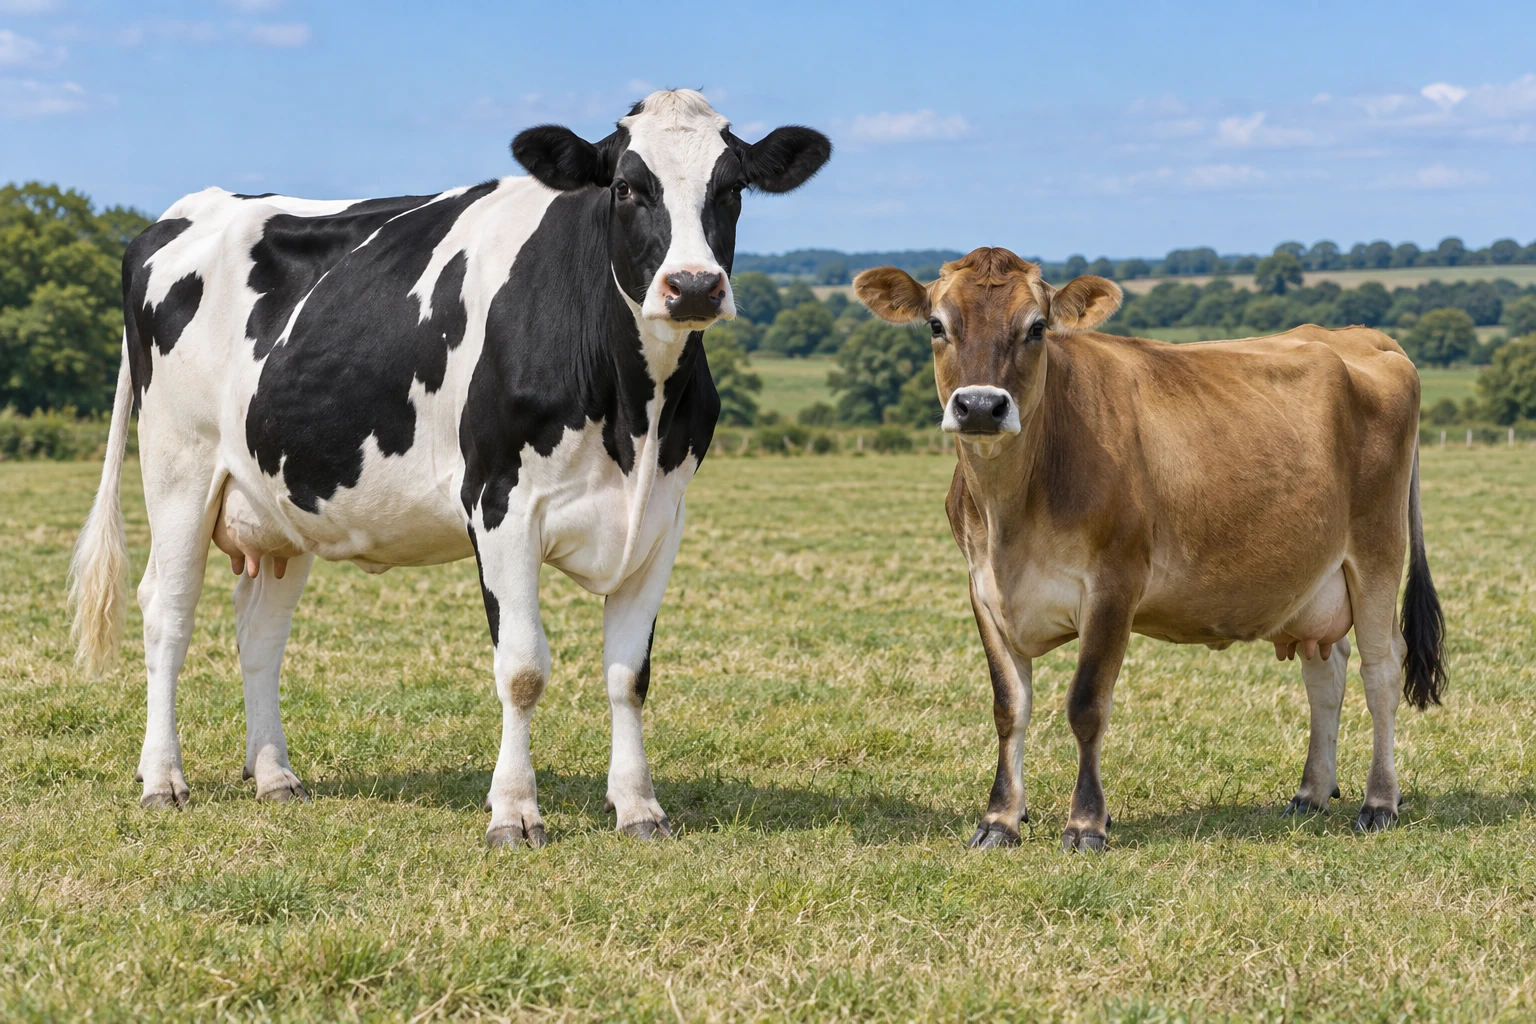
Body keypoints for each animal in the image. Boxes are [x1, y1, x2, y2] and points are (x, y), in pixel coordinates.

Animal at [68, 89, 831, 847]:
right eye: (625, 187)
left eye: (731, 188)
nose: (695, 286)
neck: (631, 416)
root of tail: (184, 212)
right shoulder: (501, 505)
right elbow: (523, 669)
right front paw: (515, 812)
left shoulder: (660, 520)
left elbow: (628, 675)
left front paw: (639, 807)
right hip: (179, 468)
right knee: (167, 614)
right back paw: (163, 779)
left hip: (280, 504)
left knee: (259, 633)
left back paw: (275, 776)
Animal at [854, 247, 1446, 852]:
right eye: (936, 325)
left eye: (1037, 327)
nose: (979, 406)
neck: (1010, 519)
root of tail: (1361, 336)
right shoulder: (984, 590)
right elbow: (1008, 707)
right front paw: (1000, 819)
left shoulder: (1114, 585)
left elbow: (1087, 704)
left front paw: (1086, 823)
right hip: (1315, 582)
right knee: (1326, 672)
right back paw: (1311, 792)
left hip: (1376, 549)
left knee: (1382, 668)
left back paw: (1380, 802)